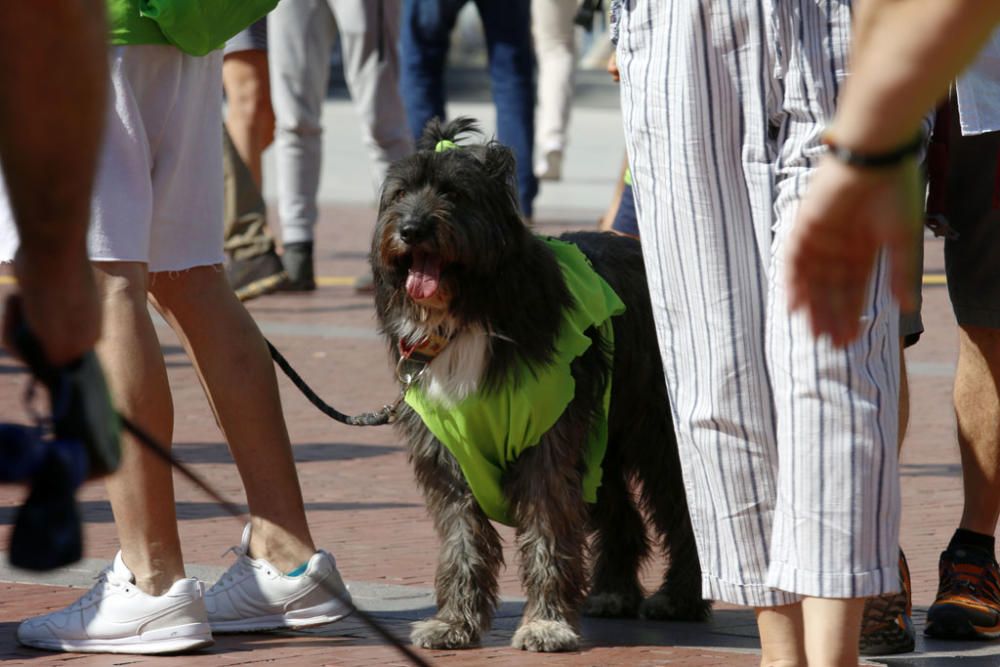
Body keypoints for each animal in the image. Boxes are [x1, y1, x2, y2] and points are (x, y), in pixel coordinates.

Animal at [372, 118, 708, 652]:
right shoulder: (450, 449)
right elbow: (462, 539)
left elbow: (548, 532)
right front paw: (454, 621)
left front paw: (546, 622)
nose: (411, 230)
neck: (473, 311)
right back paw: (614, 591)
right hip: (600, 439)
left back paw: (680, 598)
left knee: (686, 510)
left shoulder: (546, 440)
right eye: (401, 193)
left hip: (654, 432)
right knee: (622, 516)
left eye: (454, 193)